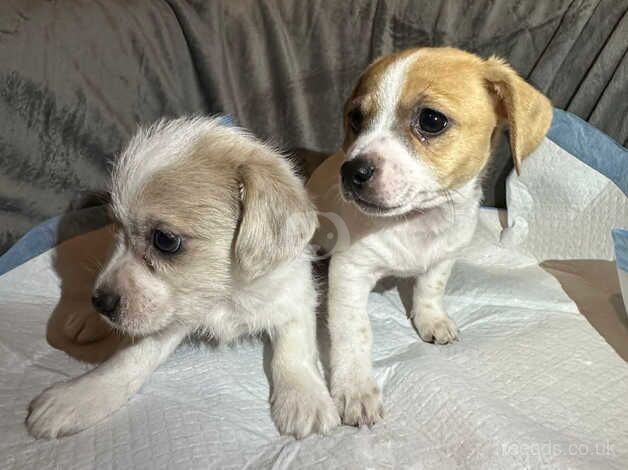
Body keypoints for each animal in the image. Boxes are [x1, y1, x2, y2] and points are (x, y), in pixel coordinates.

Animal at [25, 115, 338, 438]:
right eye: (117, 227)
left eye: (165, 240)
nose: (101, 302)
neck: (224, 294)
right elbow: (127, 360)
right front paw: (78, 397)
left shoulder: (296, 299)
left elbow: (293, 351)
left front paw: (304, 398)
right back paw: (85, 318)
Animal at [306, 46, 552, 426]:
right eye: (356, 119)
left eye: (431, 121)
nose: (351, 171)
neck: (415, 221)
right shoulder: (350, 271)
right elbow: (354, 333)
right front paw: (356, 388)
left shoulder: (443, 258)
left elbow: (429, 290)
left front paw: (430, 319)